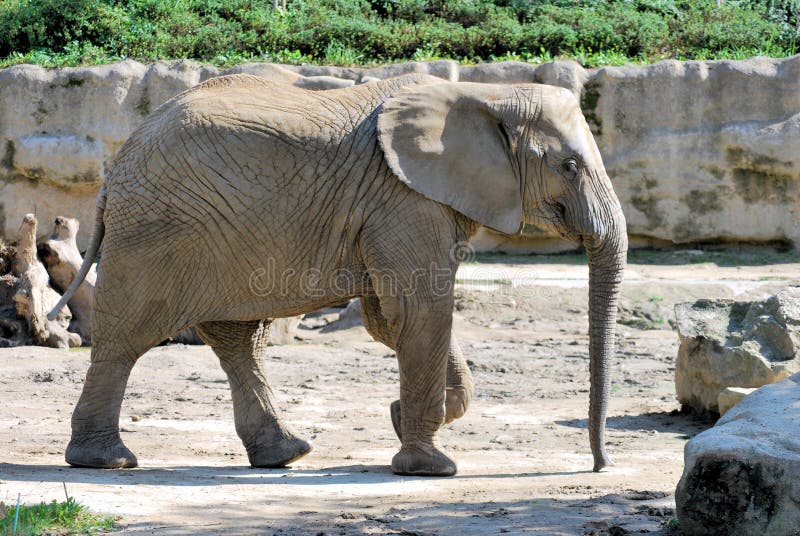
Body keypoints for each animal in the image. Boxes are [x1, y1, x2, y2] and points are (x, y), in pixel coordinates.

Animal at [53, 72, 628, 478]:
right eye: (570, 165)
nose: (599, 466)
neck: (485, 93)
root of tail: (116, 168)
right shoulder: (404, 199)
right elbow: (422, 309)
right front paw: (430, 468)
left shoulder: (403, 206)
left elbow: (390, 318)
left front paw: (403, 416)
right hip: (156, 229)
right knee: (128, 336)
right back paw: (106, 461)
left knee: (237, 338)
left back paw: (285, 454)